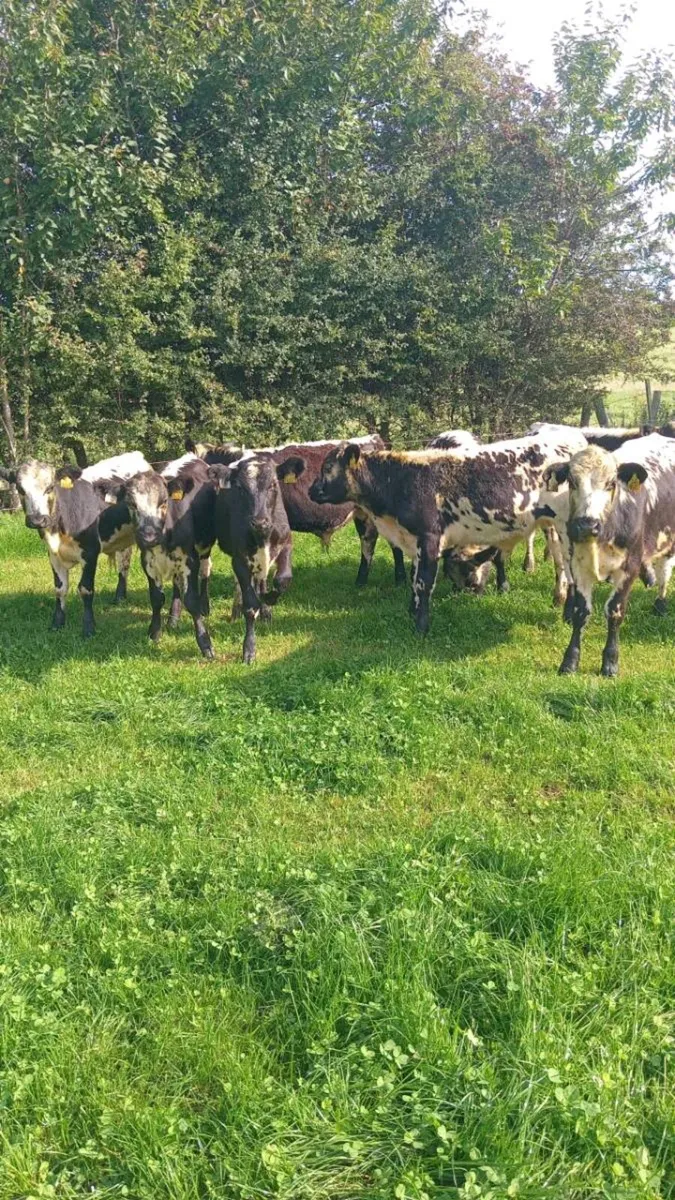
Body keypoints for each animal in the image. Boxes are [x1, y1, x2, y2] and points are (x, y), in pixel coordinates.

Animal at [308, 426, 587, 635]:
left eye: (328, 468)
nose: (311, 490)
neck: (402, 480)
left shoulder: (430, 538)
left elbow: (423, 583)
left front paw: (420, 628)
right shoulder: (415, 542)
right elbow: (414, 579)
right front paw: (411, 612)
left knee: (572, 574)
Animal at [539, 434, 675, 676]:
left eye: (611, 484)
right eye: (572, 482)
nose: (586, 525)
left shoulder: (628, 568)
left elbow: (614, 612)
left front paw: (610, 662)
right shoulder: (578, 566)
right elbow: (581, 613)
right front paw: (570, 661)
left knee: (665, 571)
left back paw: (660, 604)